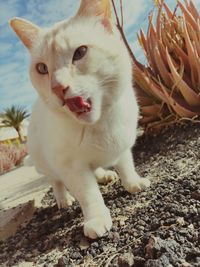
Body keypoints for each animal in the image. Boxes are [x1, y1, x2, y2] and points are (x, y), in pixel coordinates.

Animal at [9, 0, 150, 239]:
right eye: (42, 68)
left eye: (80, 52)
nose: (57, 87)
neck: (99, 124)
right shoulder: (72, 168)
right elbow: (89, 194)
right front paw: (97, 219)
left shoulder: (123, 147)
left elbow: (126, 166)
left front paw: (133, 182)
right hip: (46, 163)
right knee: (56, 181)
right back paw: (63, 199)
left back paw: (104, 175)